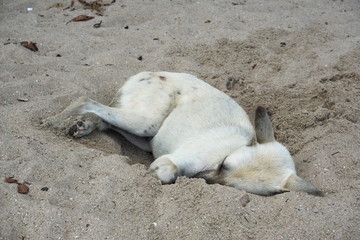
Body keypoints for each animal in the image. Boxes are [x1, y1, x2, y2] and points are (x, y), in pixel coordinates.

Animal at [45, 71, 324, 197]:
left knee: (103, 118)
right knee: (85, 100)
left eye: (232, 186)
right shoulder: (169, 159)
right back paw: (52, 121)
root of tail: (144, 73)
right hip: (146, 122)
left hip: (146, 136)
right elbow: (168, 170)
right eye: (224, 164)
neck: (232, 147)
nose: (204, 180)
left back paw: (84, 125)